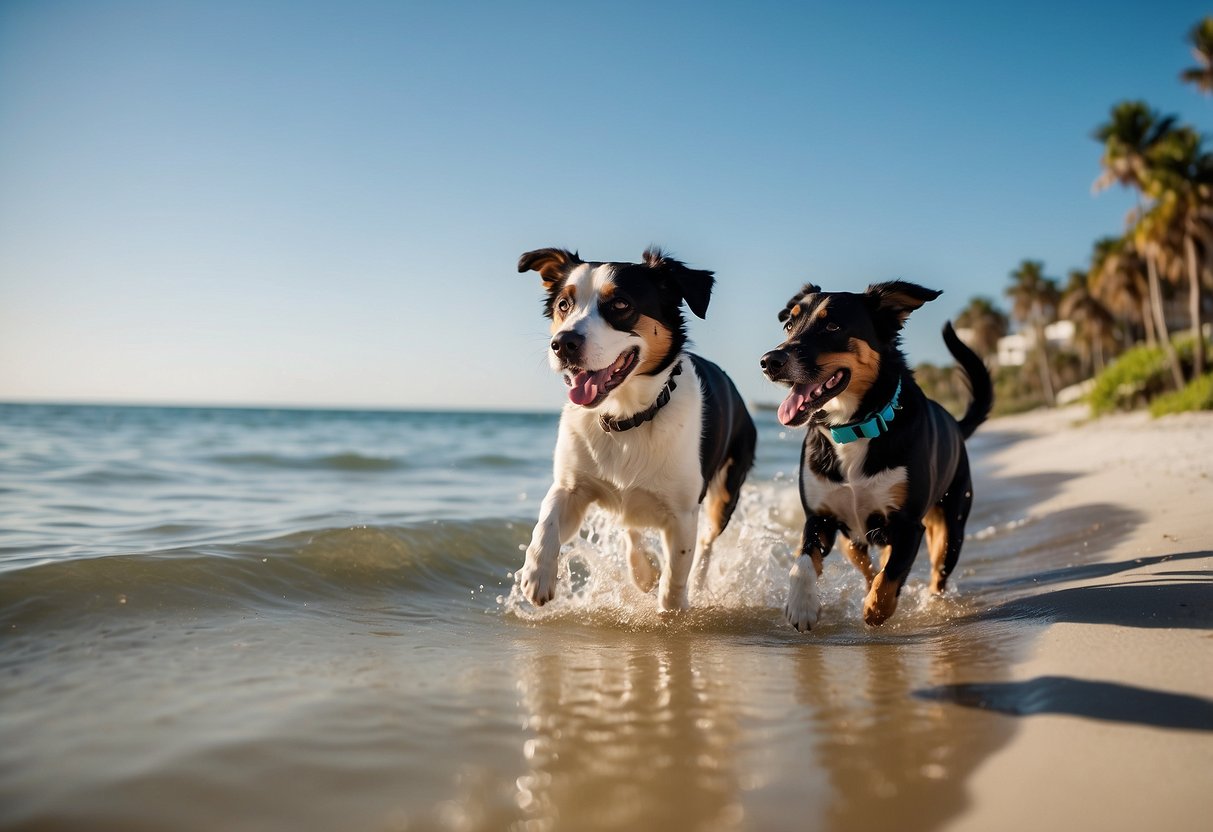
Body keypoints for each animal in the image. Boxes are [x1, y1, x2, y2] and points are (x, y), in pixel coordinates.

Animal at [516, 247, 752, 613]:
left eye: (621, 304)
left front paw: (672, 614)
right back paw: (643, 570)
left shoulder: (683, 513)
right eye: (564, 305)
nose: (562, 343)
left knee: (706, 544)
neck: (626, 417)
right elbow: (548, 520)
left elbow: (675, 580)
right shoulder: (572, 486)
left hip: (725, 491)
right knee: (631, 523)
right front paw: (537, 573)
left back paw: (697, 582)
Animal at [761, 283, 989, 630]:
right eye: (789, 325)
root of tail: (956, 424)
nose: (768, 361)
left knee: (936, 576)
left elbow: (891, 576)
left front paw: (876, 610)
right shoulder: (819, 517)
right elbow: (802, 561)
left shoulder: (908, 526)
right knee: (868, 565)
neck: (854, 428)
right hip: (851, 539)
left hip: (951, 529)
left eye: (832, 326)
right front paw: (801, 605)